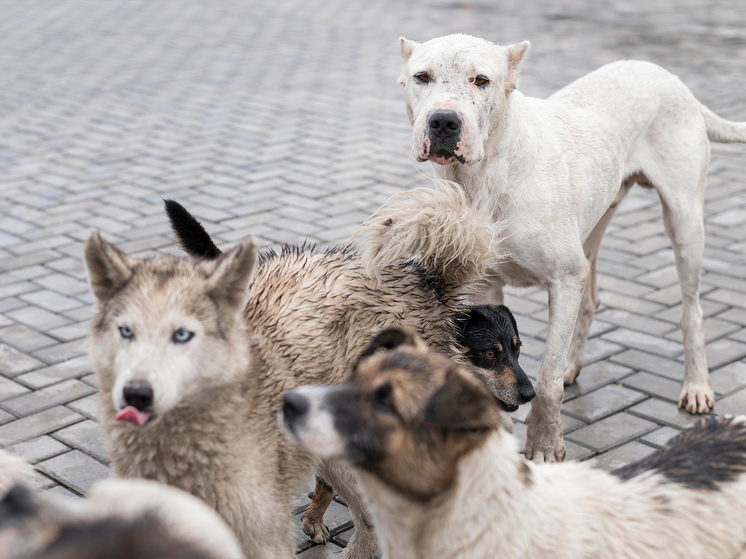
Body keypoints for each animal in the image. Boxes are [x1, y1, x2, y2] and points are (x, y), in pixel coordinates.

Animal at [364, 34, 744, 464]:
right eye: (422, 77)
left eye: (482, 80)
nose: (444, 121)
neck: (488, 177)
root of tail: (673, 79)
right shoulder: (485, 289)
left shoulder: (564, 278)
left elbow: (546, 383)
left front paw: (544, 445)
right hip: (594, 226)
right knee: (590, 300)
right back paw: (572, 364)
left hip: (684, 221)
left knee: (691, 310)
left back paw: (696, 385)